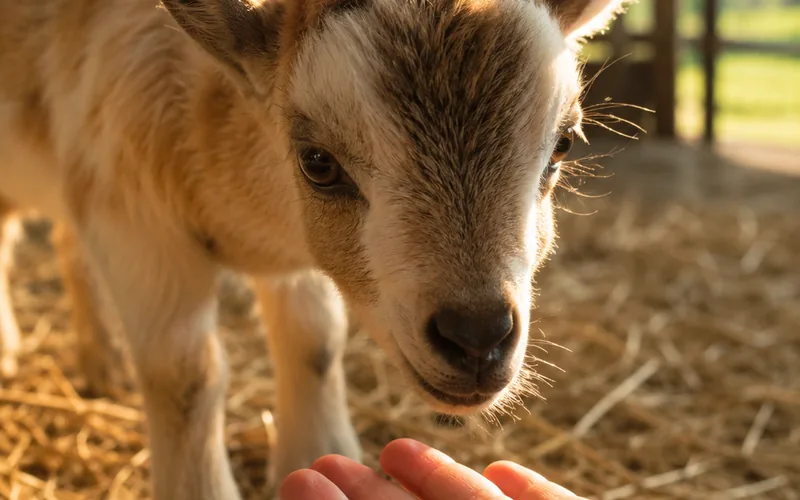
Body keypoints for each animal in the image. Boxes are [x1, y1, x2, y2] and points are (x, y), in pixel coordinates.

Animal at [0, 0, 628, 497]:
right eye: (318, 163)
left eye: (565, 144)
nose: (477, 338)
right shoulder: (131, 214)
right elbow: (185, 377)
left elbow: (314, 342)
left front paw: (318, 454)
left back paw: (102, 363)